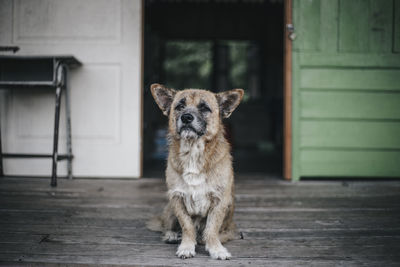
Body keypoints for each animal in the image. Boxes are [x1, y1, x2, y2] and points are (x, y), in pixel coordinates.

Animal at [147, 83, 244, 260]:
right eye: (179, 106)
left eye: (204, 108)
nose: (186, 117)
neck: (193, 151)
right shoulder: (177, 198)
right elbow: (187, 226)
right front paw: (186, 246)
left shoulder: (220, 201)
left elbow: (212, 229)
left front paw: (216, 249)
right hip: (170, 208)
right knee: (166, 227)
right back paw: (172, 235)